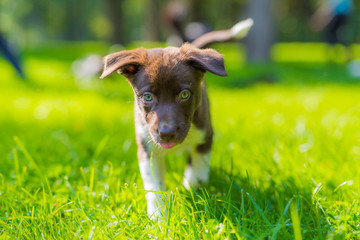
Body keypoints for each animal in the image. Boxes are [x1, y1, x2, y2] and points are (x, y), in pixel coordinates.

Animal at [100, 18, 255, 218]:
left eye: (184, 94)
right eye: (147, 97)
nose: (167, 133)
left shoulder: (205, 137)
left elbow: (199, 171)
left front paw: (193, 188)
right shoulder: (147, 148)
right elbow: (154, 187)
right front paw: (158, 217)